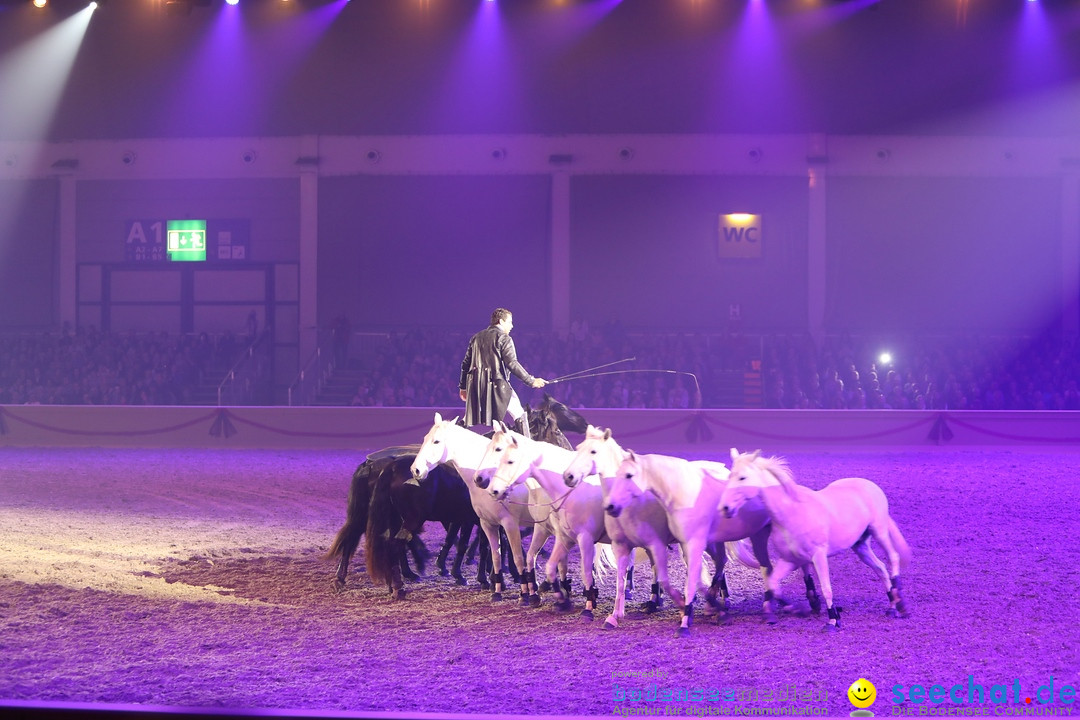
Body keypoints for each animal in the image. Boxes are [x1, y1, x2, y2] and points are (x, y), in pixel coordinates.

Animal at [406, 414, 557, 604]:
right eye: (425, 438)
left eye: (437, 441)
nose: (415, 470)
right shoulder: (487, 523)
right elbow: (495, 554)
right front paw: (497, 590)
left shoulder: (509, 524)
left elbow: (516, 556)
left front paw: (523, 593)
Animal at [475, 425, 617, 621]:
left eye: (499, 450)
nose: (482, 481)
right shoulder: (546, 529)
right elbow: (537, 559)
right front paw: (550, 595)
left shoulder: (574, 536)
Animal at [717, 451, 911, 630]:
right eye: (730, 475)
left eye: (742, 477)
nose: (724, 508)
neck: (790, 513)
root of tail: (870, 485)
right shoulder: (790, 560)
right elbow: (773, 584)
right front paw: (797, 608)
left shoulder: (819, 556)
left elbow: (826, 588)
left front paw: (832, 621)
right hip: (861, 546)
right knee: (881, 568)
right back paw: (892, 606)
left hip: (879, 531)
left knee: (893, 557)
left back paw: (900, 601)